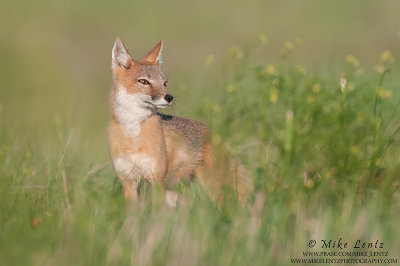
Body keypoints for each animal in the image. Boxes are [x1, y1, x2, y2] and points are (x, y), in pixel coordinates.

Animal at [108, 37, 248, 205]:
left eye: (164, 83)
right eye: (143, 82)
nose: (169, 97)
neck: (133, 135)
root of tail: (211, 131)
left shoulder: (156, 179)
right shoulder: (128, 181)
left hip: (213, 187)